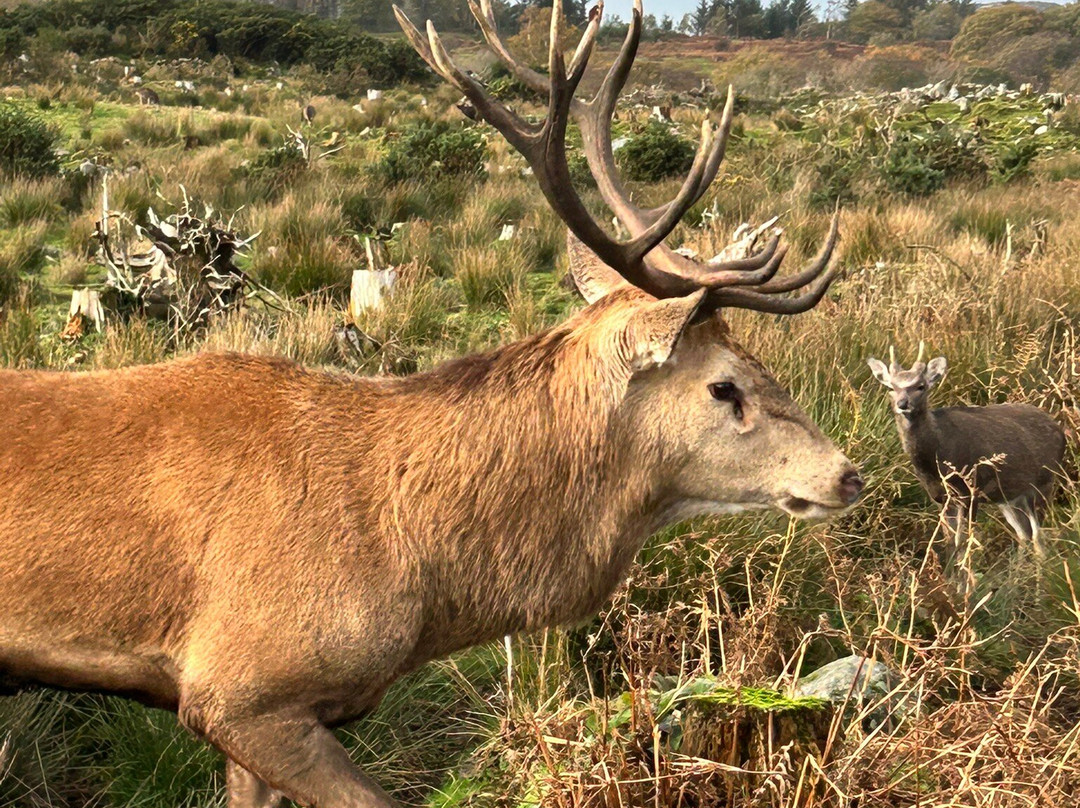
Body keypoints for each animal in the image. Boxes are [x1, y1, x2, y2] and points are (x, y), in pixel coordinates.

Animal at [868, 343, 1066, 565]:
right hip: (1009, 496)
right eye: (890, 387)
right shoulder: (941, 497)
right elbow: (950, 544)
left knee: (1038, 537)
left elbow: (963, 542)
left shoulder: (970, 490)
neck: (936, 456)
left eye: (921, 386)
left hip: (1044, 481)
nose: (903, 404)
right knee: (1024, 533)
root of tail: (1060, 430)